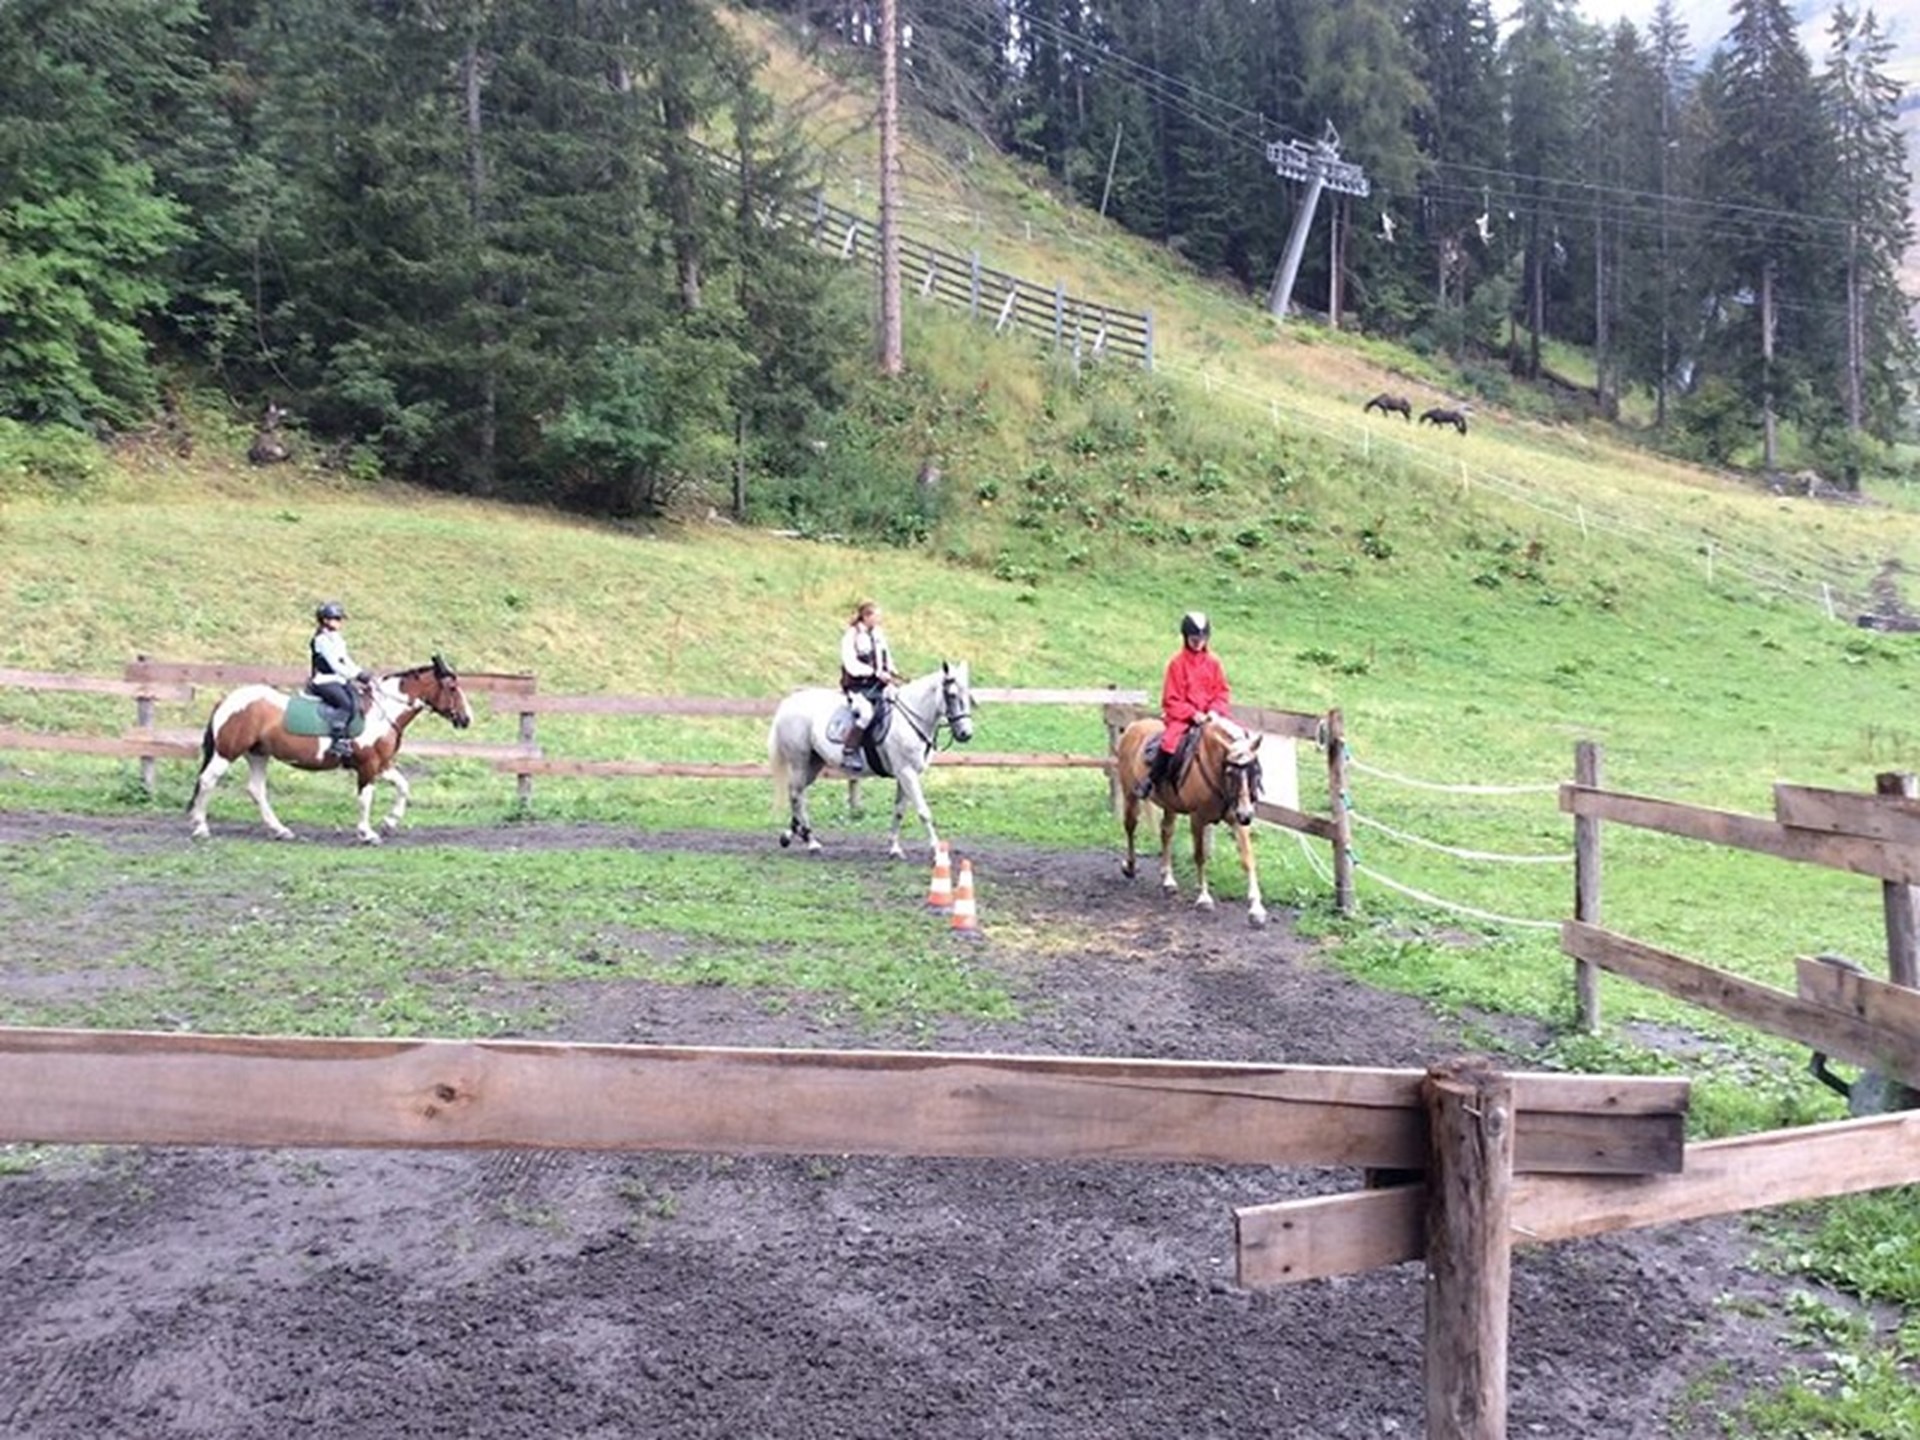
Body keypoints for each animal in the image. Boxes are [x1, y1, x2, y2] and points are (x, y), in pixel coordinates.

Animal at [187, 655, 473, 843]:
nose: (466, 719)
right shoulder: (368, 765)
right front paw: (367, 833)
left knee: (256, 790)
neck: (382, 711)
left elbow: (403, 786)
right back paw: (200, 828)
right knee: (208, 780)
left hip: (258, 754)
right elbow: (366, 797)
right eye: (452, 687)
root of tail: (228, 700)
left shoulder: (382, 764)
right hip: (227, 753)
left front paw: (390, 822)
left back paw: (280, 830)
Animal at [768, 662, 975, 860]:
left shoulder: (906, 775)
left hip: (813, 763)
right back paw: (811, 842)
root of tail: (788, 703)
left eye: (969, 696)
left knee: (797, 793)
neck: (912, 718)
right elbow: (924, 812)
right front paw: (937, 850)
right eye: (952, 695)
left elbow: (899, 811)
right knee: (796, 795)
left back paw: (793, 835)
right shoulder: (907, 773)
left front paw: (894, 848)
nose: (966, 734)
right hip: (799, 762)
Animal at [1113, 714, 1268, 927]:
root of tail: (1134, 726)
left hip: (1170, 805)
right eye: (1230, 772)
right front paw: (1204, 898)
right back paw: (1130, 866)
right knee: (1130, 827)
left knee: (1166, 833)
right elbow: (1199, 856)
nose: (1246, 815)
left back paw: (1168, 880)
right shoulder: (1197, 819)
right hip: (1130, 795)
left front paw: (1256, 908)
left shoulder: (1236, 821)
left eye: (1254, 770)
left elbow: (1248, 860)